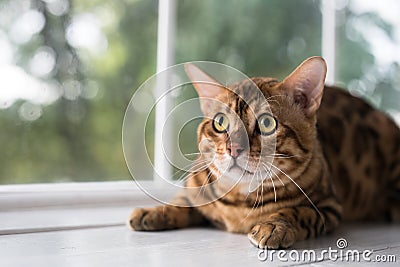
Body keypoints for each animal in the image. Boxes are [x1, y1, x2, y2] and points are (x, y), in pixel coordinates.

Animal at [128, 57, 400, 250]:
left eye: (267, 123)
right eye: (220, 122)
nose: (234, 148)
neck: (239, 203)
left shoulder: (328, 205)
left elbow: (297, 211)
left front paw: (273, 226)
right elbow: (183, 201)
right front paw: (153, 211)